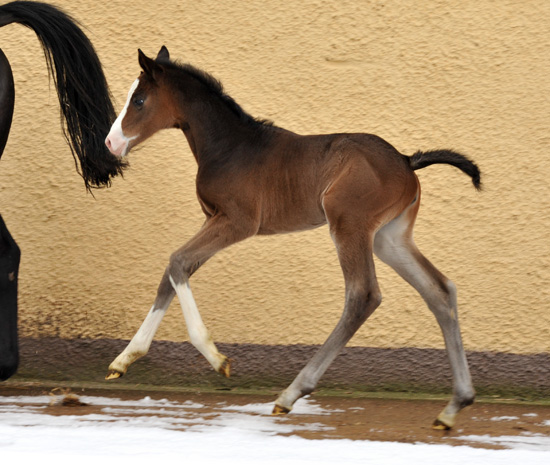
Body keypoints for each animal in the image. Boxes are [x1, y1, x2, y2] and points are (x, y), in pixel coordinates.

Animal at [104, 47, 484, 428]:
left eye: (139, 100)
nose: (111, 142)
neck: (230, 146)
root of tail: (407, 161)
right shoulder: (212, 219)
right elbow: (172, 274)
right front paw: (124, 359)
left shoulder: (238, 222)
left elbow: (177, 261)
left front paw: (217, 359)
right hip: (388, 238)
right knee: (439, 290)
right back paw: (454, 406)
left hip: (348, 224)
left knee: (363, 295)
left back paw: (291, 393)